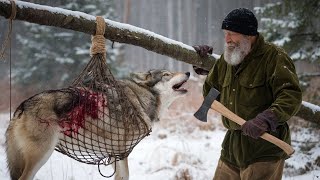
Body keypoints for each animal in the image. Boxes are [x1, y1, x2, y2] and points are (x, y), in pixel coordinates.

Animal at [5, 70, 190, 180]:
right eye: (167, 74)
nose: (188, 72)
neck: (140, 98)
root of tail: (22, 106)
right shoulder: (121, 152)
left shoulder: (115, 154)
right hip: (42, 154)